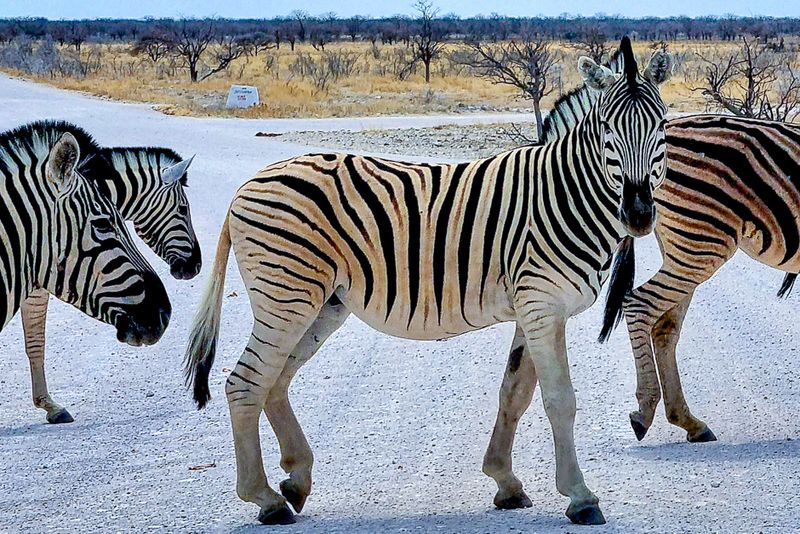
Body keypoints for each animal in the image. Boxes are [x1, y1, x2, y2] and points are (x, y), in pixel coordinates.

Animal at [184, 37, 672, 526]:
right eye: (607, 130)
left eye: (661, 127)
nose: (638, 215)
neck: (566, 194)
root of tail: (247, 186)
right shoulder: (543, 306)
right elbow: (559, 400)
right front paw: (580, 497)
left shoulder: (531, 310)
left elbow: (514, 393)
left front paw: (505, 482)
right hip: (287, 297)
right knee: (245, 384)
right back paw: (265, 499)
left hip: (322, 303)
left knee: (275, 380)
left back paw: (295, 480)